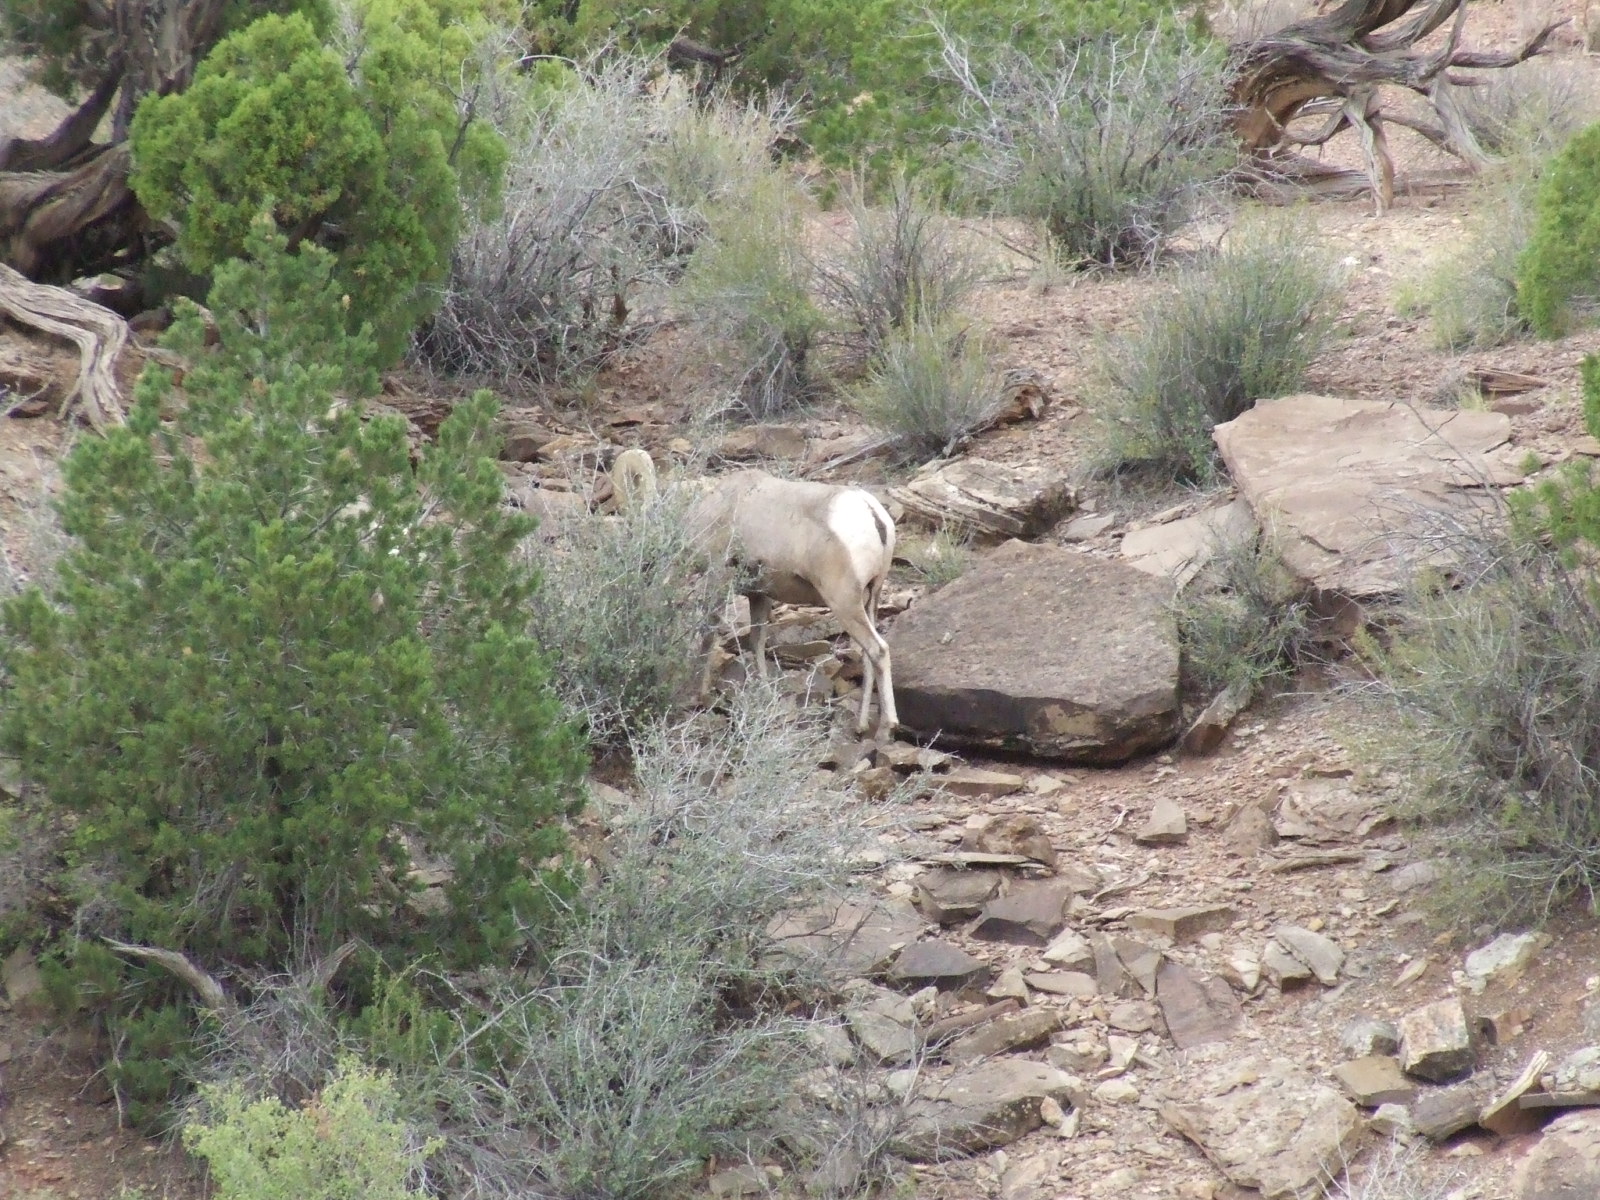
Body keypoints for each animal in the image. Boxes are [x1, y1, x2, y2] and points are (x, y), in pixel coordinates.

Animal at [610, 447, 899, 740]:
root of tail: (871, 513)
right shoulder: (760, 595)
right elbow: (757, 642)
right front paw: (764, 693)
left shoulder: (718, 580)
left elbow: (709, 637)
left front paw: (698, 696)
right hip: (870, 600)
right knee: (867, 658)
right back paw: (861, 725)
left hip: (843, 601)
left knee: (878, 650)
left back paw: (886, 729)